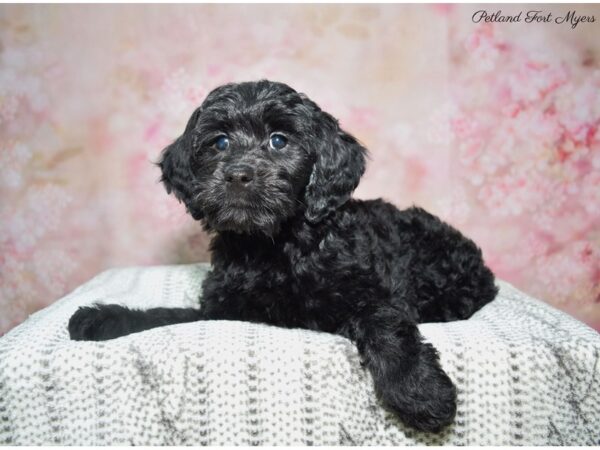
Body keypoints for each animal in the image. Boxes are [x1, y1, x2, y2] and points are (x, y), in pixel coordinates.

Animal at [69, 81, 496, 432]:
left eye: (279, 140)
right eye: (219, 143)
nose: (238, 176)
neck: (271, 247)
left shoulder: (377, 293)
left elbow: (384, 325)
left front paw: (419, 391)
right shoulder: (222, 310)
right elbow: (165, 316)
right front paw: (101, 318)